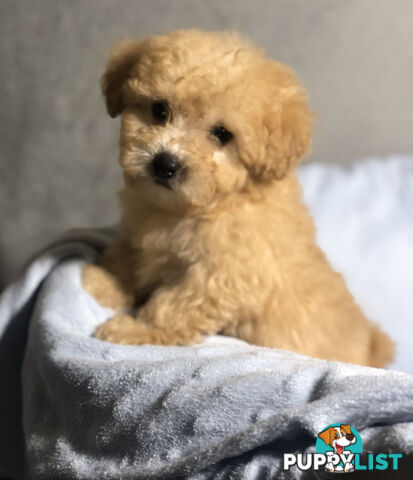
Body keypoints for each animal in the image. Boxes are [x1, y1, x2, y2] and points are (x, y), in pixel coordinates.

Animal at [81, 29, 392, 368]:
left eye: (222, 134)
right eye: (160, 110)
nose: (165, 163)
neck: (196, 206)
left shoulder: (226, 274)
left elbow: (175, 304)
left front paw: (135, 329)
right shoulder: (143, 234)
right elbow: (128, 254)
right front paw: (102, 281)